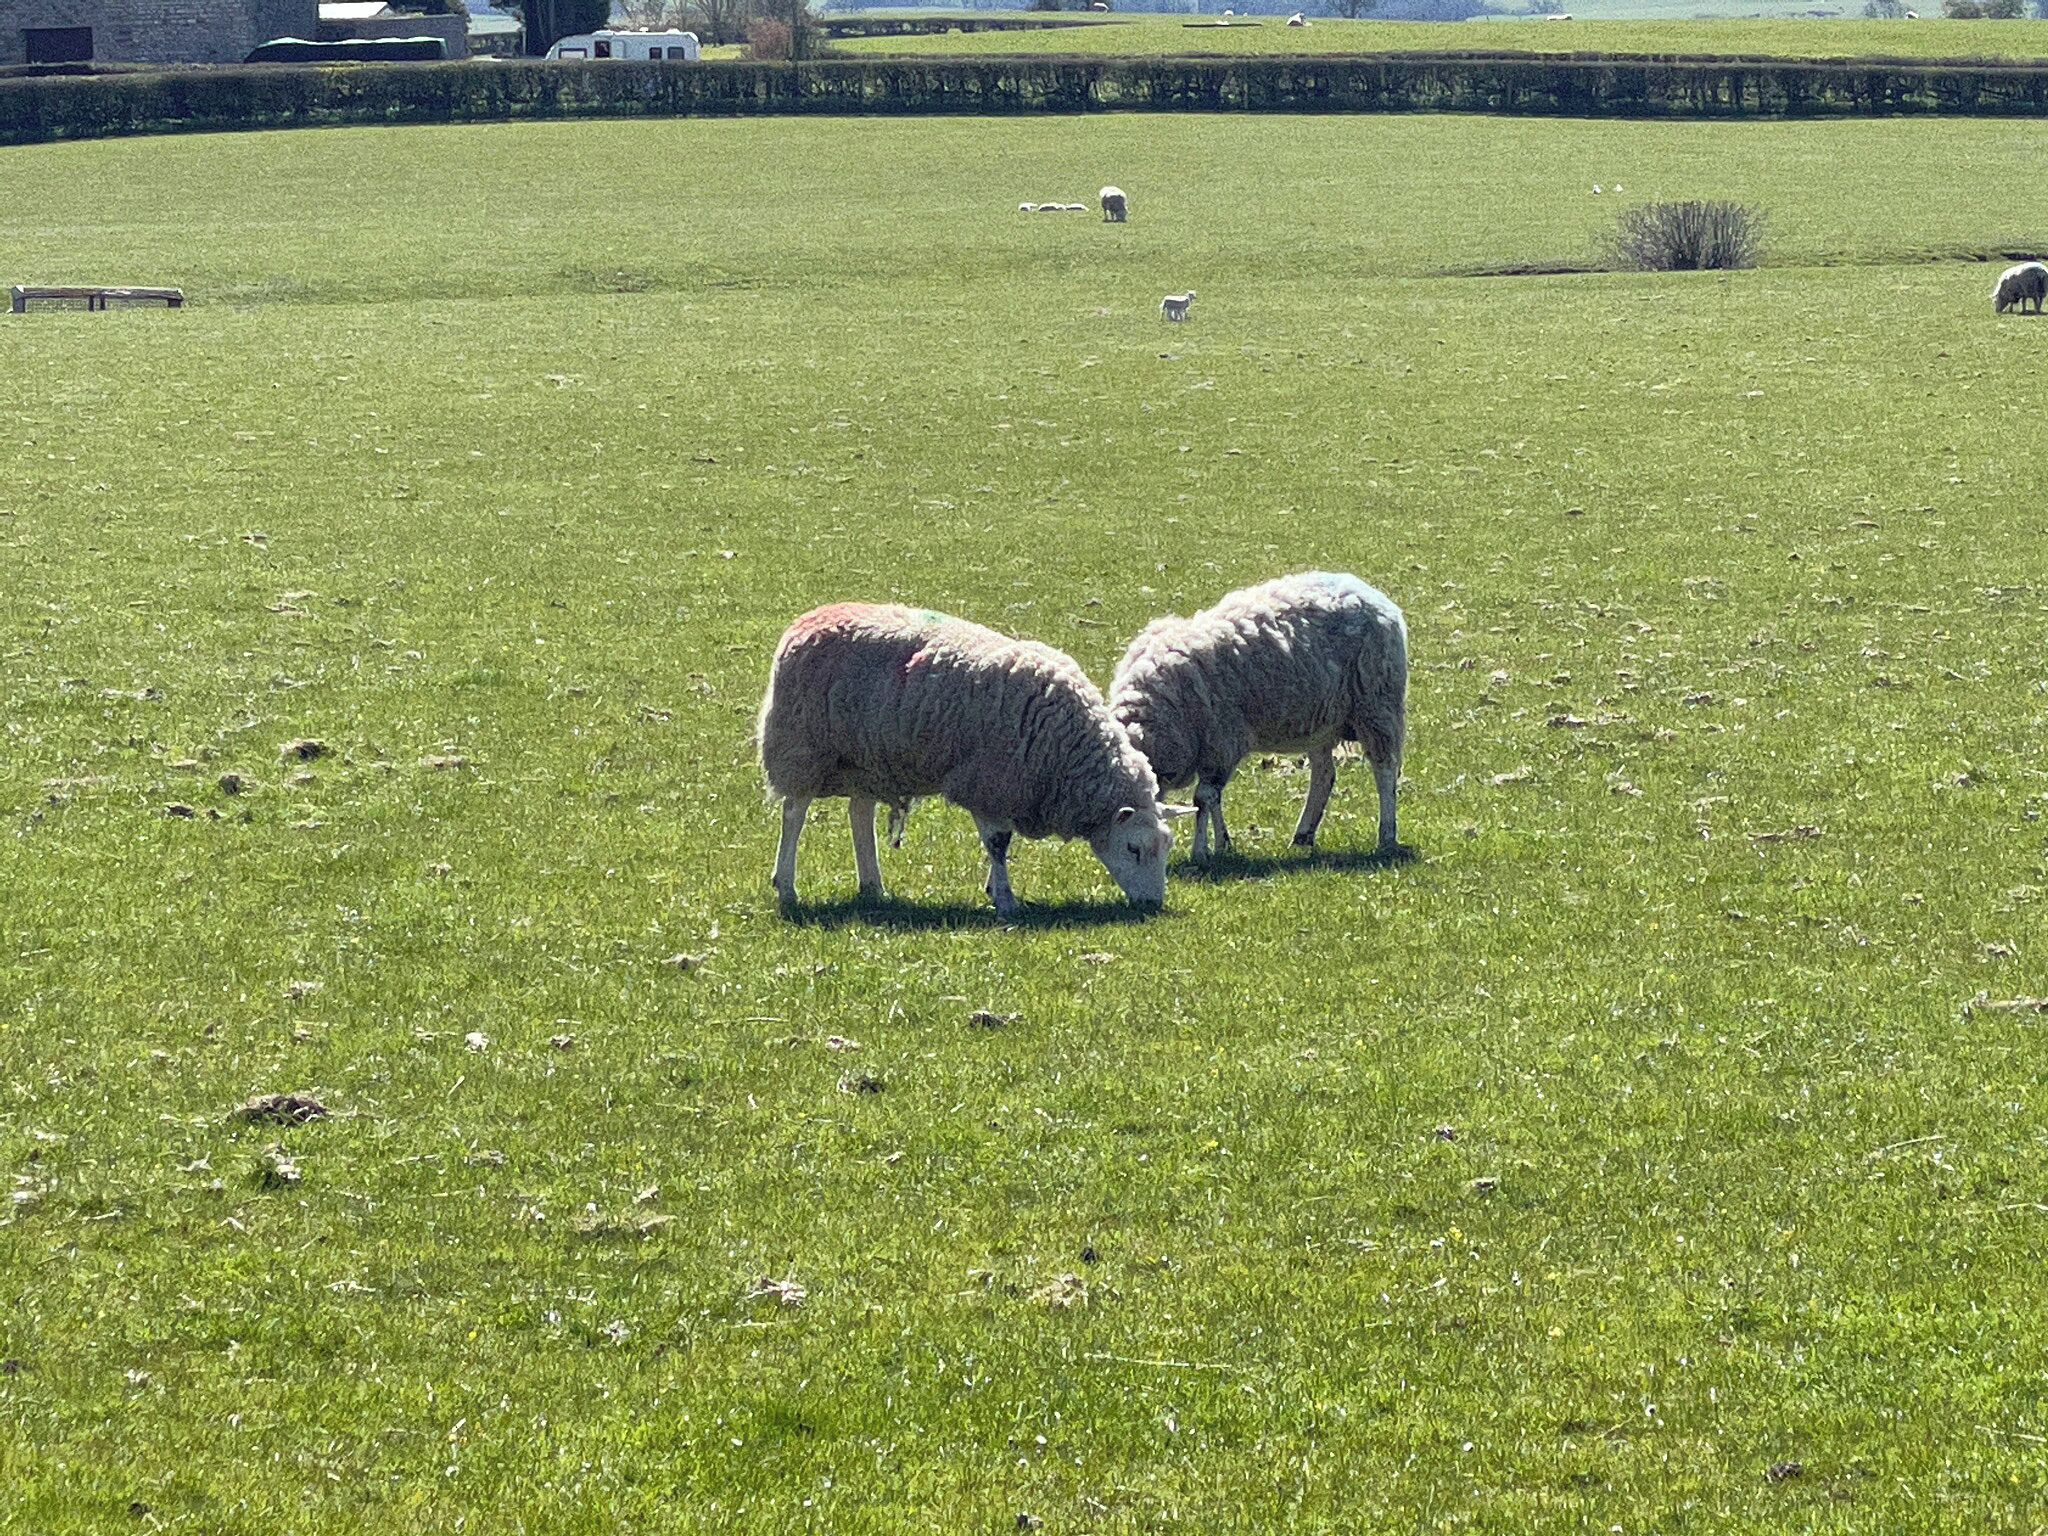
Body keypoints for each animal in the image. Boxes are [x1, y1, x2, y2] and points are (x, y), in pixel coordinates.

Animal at [758, 602, 1184, 917]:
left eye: (1166, 847)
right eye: (1133, 849)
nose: (1152, 905)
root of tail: (804, 622)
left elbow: (999, 844)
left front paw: (996, 889)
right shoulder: (988, 779)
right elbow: (998, 843)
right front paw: (1006, 900)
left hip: (866, 758)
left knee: (859, 814)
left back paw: (873, 887)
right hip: (801, 746)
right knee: (794, 814)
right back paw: (787, 886)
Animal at [1109, 572, 1408, 864]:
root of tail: (1370, 593)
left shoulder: (1221, 741)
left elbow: (1203, 798)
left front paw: (1202, 851)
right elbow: (1213, 798)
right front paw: (1223, 844)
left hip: (1376, 704)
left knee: (1385, 770)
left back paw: (1386, 835)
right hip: (1321, 718)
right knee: (1324, 774)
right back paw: (1303, 835)